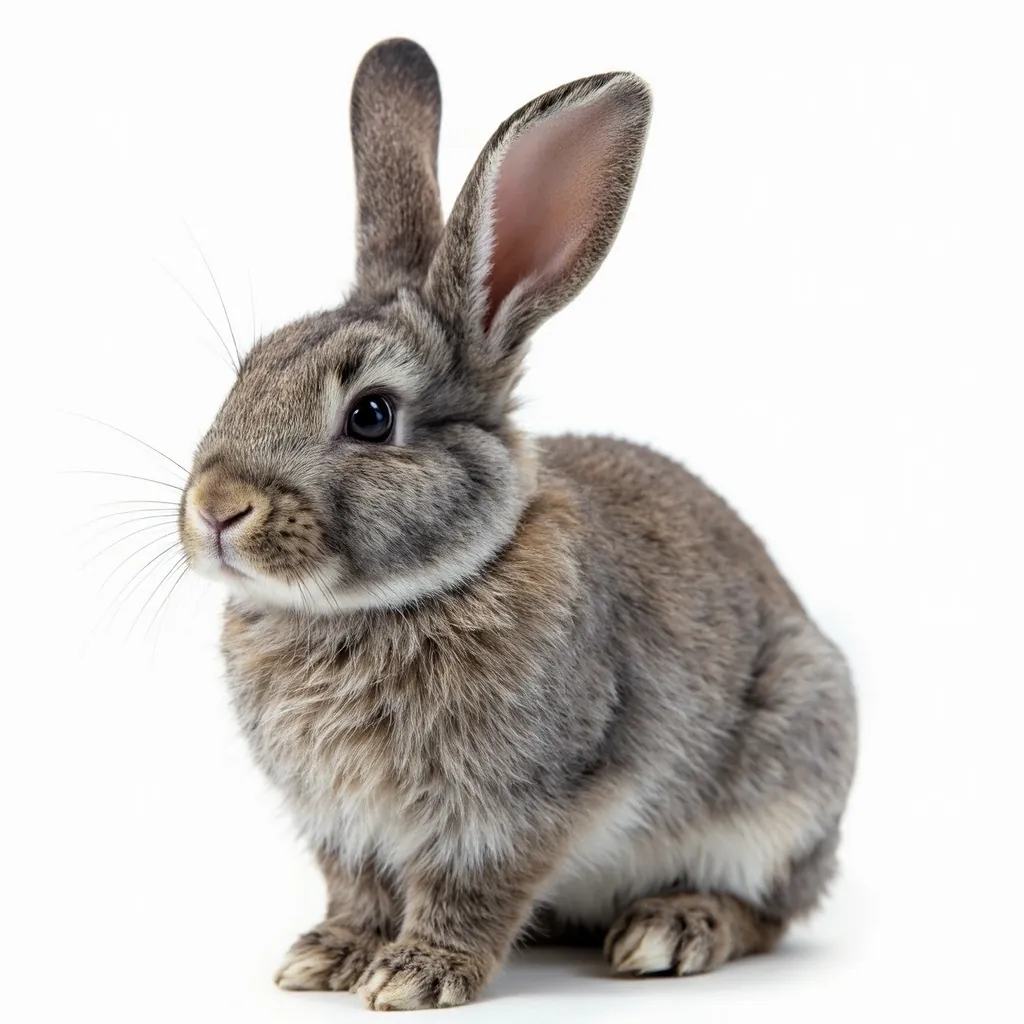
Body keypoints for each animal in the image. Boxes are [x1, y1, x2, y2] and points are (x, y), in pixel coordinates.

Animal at [177, 37, 857, 1012]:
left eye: (372, 416)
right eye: (248, 372)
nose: (216, 507)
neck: (389, 603)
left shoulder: (513, 808)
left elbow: (471, 891)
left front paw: (415, 976)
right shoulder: (342, 824)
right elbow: (357, 887)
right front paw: (328, 956)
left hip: (792, 767)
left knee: (769, 910)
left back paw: (671, 929)